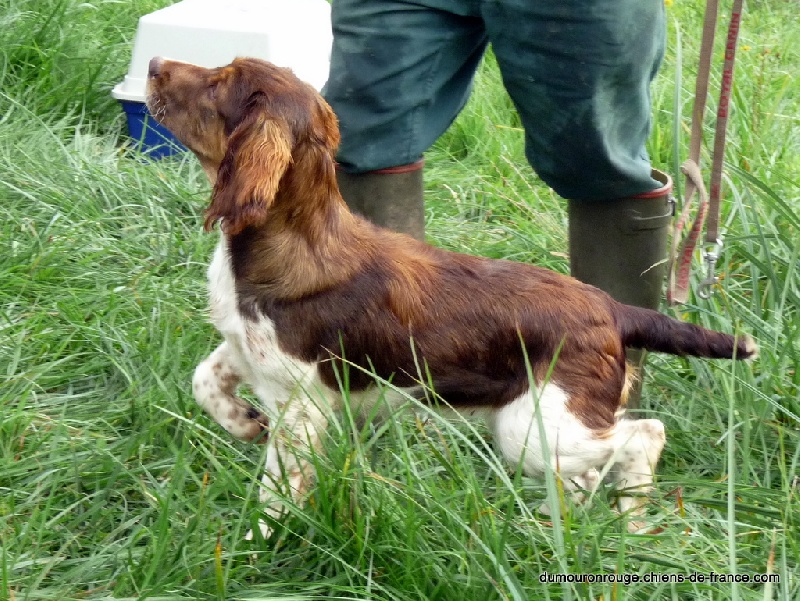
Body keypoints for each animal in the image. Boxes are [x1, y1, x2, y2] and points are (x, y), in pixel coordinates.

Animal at [146, 56, 757, 537]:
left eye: (218, 83)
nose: (152, 64)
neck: (287, 239)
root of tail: (613, 307)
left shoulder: (300, 404)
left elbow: (277, 486)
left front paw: (258, 541)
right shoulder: (243, 352)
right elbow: (205, 380)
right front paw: (244, 423)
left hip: (532, 426)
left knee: (642, 435)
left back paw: (630, 517)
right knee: (592, 468)